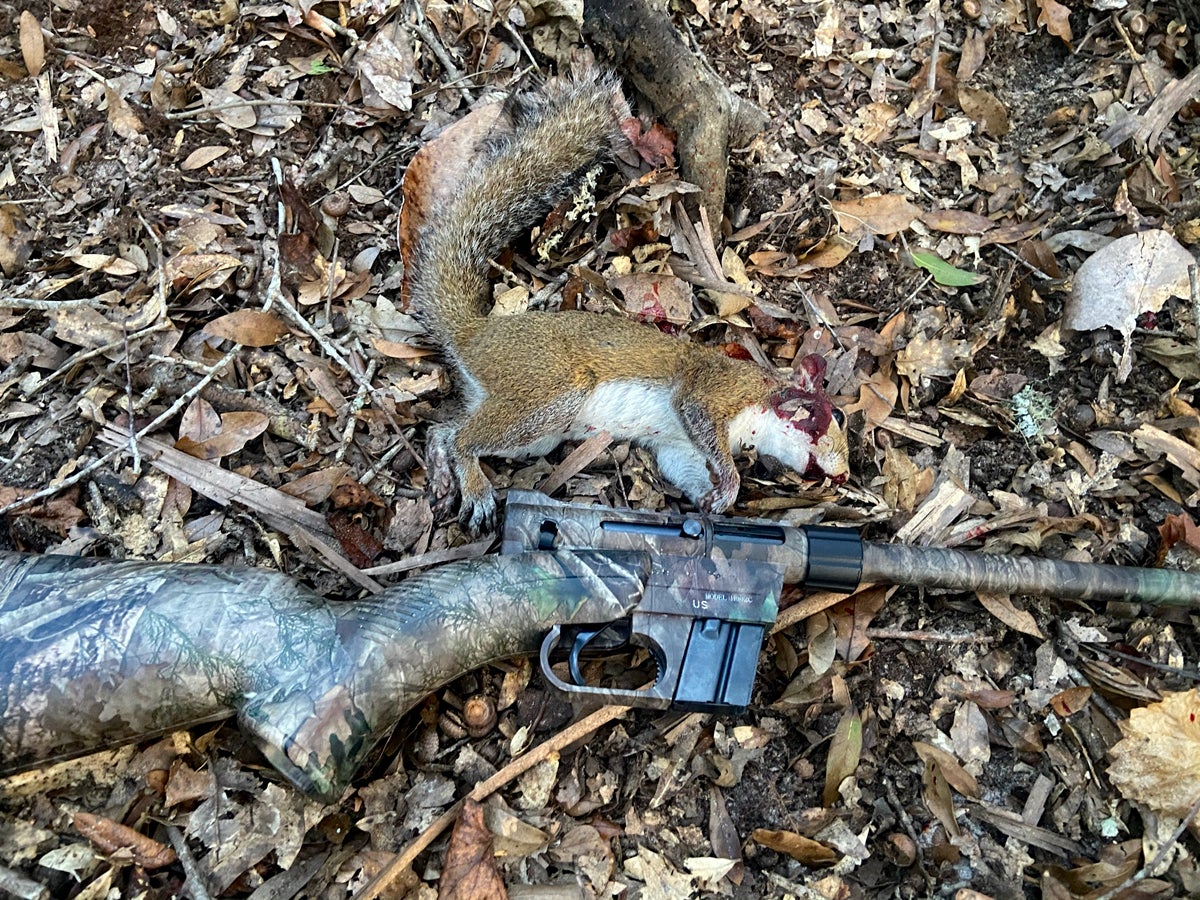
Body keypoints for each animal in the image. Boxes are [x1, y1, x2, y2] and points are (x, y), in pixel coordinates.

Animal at [408, 72, 849, 535]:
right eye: (836, 416)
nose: (843, 476)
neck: (764, 400)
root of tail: (475, 333)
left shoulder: (678, 446)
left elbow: (684, 464)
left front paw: (710, 502)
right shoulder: (719, 387)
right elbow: (699, 409)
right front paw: (729, 485)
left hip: (534, 427)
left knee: (443, 430)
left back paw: (442, 472)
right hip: (547, 389)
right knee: (464, 439)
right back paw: (474, 487)